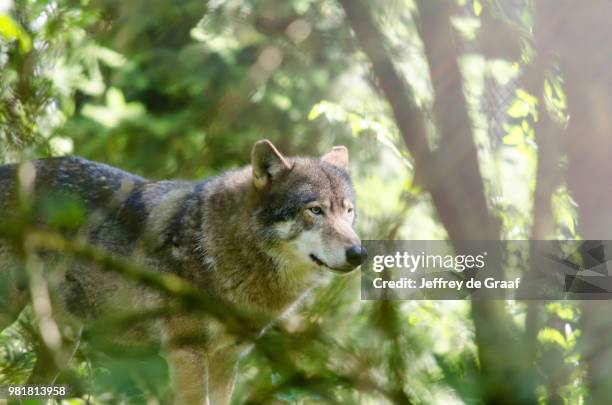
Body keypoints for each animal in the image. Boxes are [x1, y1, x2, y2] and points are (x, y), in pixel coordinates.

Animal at [0, 140, 366, 404]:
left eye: (348, 212)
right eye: (315, 211)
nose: (359, 253)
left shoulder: (226, 360)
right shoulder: (186, 354)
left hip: (62, 341)